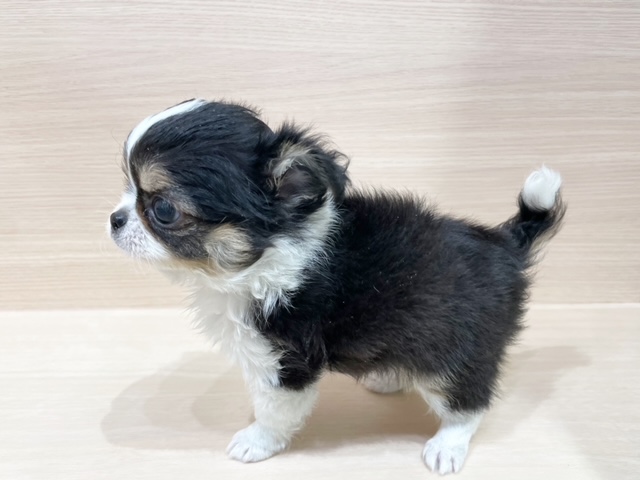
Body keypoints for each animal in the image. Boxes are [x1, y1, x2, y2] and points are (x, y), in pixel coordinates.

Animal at [109, 98, 564, 474]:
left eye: (163, 210)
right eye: (127, 188)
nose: (114, 219)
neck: (271, 252)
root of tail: (507, 244)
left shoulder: (286, 361)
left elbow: (274, 410)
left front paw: (257, 440)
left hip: (455, 352)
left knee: (468, 403)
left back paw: (446, 445)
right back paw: (389, 377)